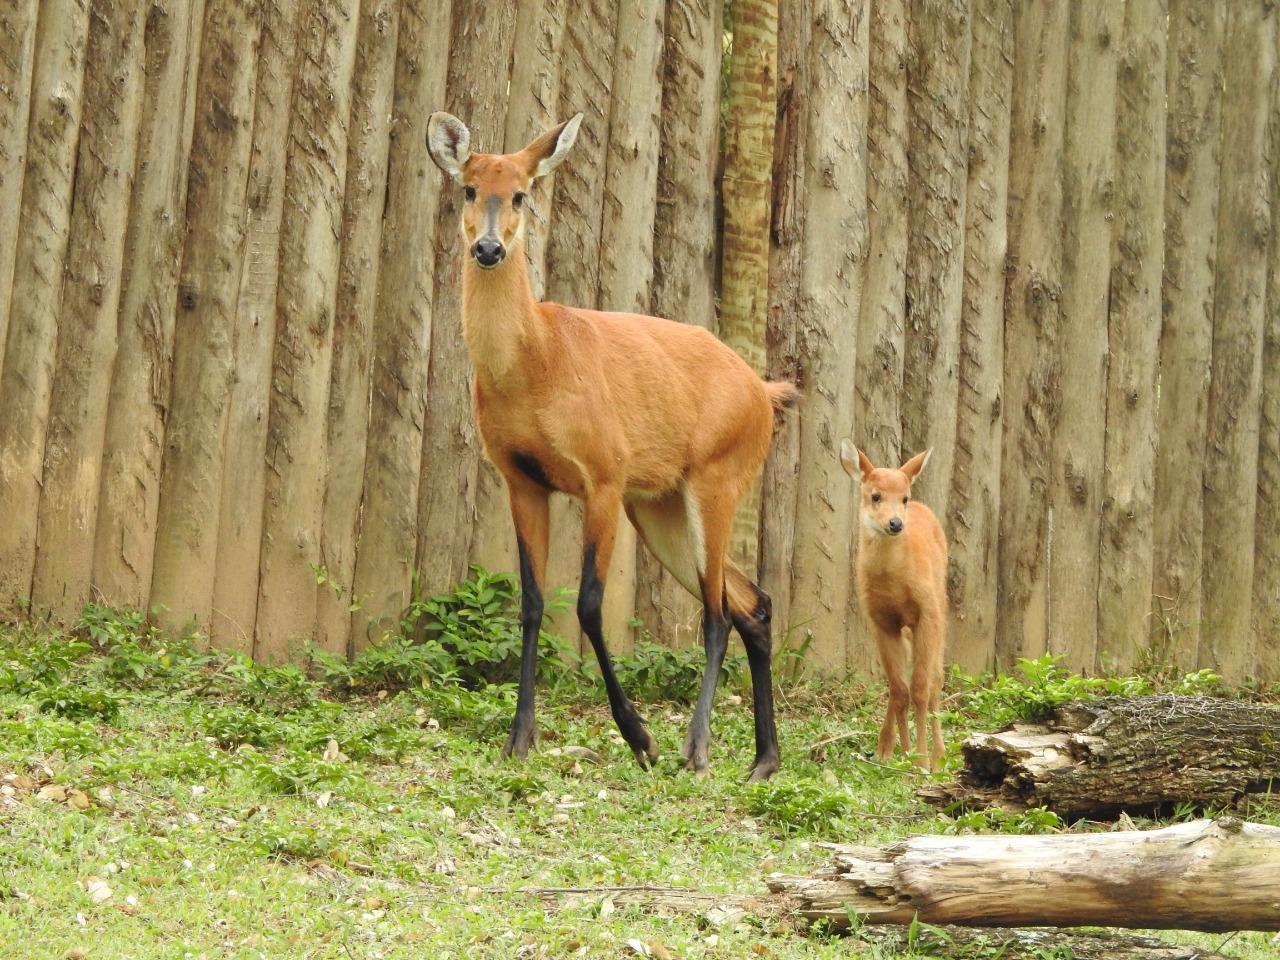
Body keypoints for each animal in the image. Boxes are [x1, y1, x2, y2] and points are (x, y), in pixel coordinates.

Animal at [424, 110, 793, 783]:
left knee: (717, 611)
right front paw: (519, 740)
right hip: (659, 507)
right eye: (468, 188)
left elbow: (591, 607)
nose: (488, 248)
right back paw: (763, 760)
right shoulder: (522, 479)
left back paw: (696, 749)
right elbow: (532, 603)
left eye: (522, 192)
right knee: (753, 602)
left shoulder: (602, 477)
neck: (537, 362)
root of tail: (763, 392)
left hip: (715, 480)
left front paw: (640, 738)